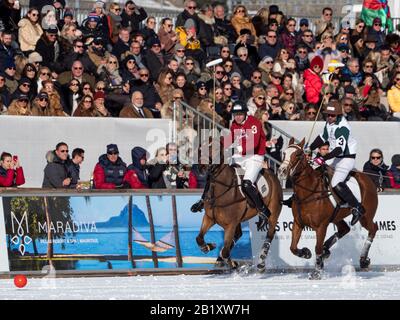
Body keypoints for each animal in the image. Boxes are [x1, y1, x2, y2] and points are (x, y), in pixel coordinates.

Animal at [195, 139, 282, 272]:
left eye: (216, 149)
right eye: (201, 148)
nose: (202, 167)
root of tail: (272, 174)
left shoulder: (230, 224)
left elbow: (226, 251)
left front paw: (233, 264)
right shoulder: (209, 218)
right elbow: (199, 238)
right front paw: (209, 247)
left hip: (274, 212)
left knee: (269, 235)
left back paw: (261, 263)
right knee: (238, 234)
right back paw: (219, 259)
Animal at [278, 138, 378, 280]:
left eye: (298, 155)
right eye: (284, 153)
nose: (282, 171)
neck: (309, 191)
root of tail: (368, 179)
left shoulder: (321, 226)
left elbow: (317, 248)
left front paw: (316, 272)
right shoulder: (298, 223)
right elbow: (293, 247)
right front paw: (306, 253)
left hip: (366, 216)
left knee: (373, 228)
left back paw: (363, 259)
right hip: (337, 217)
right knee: (344, 229)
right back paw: (327, 250)